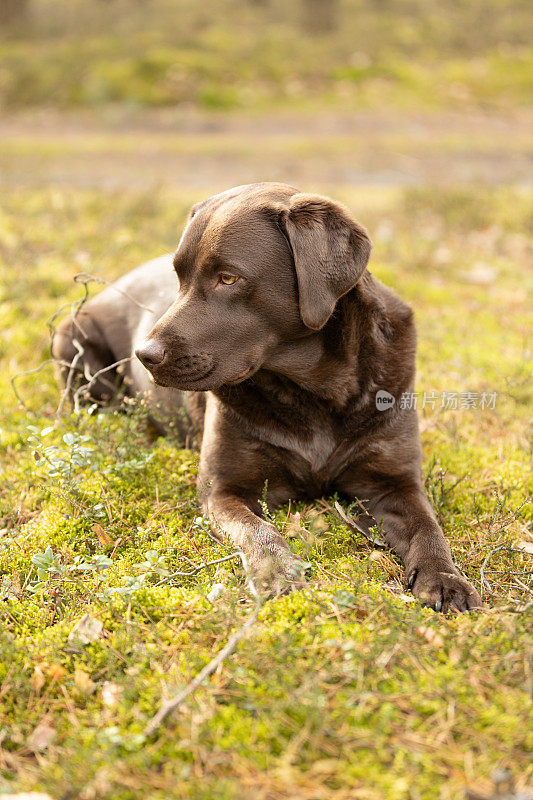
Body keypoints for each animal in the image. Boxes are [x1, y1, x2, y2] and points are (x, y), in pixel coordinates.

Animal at [55, 181, 482, 612]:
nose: (144, 355)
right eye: (179, 277)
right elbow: (257, 530)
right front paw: (279, 573)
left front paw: (446, 580)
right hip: (69, 337)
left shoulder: (394, 483)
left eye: (228, 278)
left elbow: (428, 529)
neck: (316, 390)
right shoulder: (223, 491)